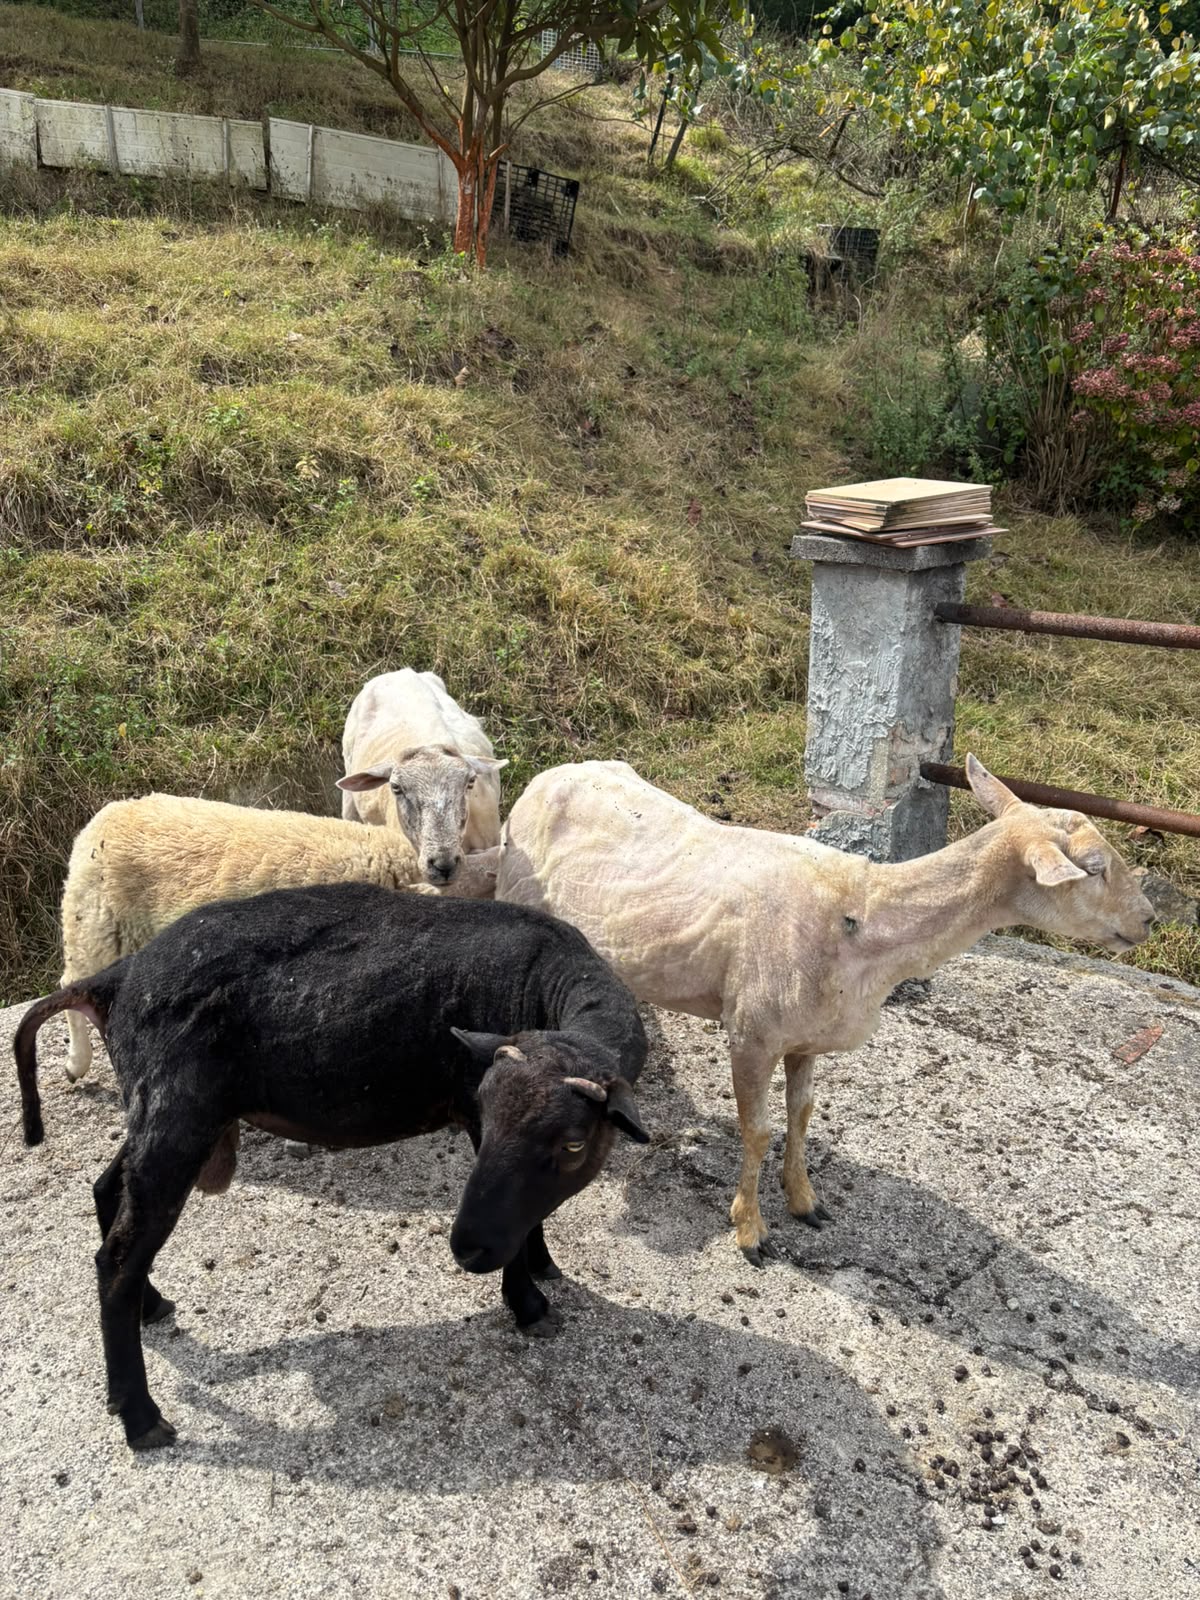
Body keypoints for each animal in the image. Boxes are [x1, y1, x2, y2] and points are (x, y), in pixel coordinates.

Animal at [16, 883, 649, 1450]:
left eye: (572, 1146)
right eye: (488, 1114)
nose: (467, 1250)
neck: (549, 980)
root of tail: (114, 980)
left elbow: (529, 1215)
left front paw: (543, 1264)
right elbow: (517, 1231)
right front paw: (529, 1305)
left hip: (163, 1110)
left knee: (108, 1193)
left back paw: (151, 1307)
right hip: (176, 1111)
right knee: (118, 1259)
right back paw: (141, 1417)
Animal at [496, 754, 1156, 1265]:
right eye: (1094, 868)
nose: (1150, 919)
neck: (868, 915)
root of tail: (548, 774)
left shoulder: (806, 1038)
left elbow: (803, 1114)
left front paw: (804, 1200)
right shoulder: (752, 1031)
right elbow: (758, 1131)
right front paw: (750, 1230)